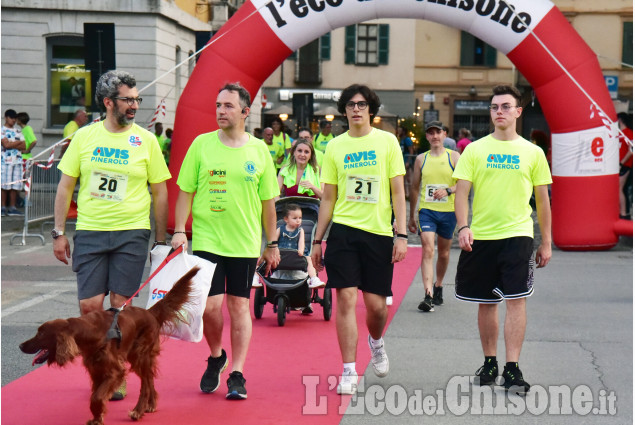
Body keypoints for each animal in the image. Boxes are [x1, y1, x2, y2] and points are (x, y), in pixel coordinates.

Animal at [20, 264, 199, 424]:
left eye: (41, 334)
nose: (20, 346)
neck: (89, 332)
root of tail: (150, 313)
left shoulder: (115, 370)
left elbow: (97, 396)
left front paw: (97, 416)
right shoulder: (96, 370)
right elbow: (94, 395)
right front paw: (97, 417)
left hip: (140, 355)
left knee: (145, 383)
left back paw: (138, 411)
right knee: (150, 379)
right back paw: (151, 404)